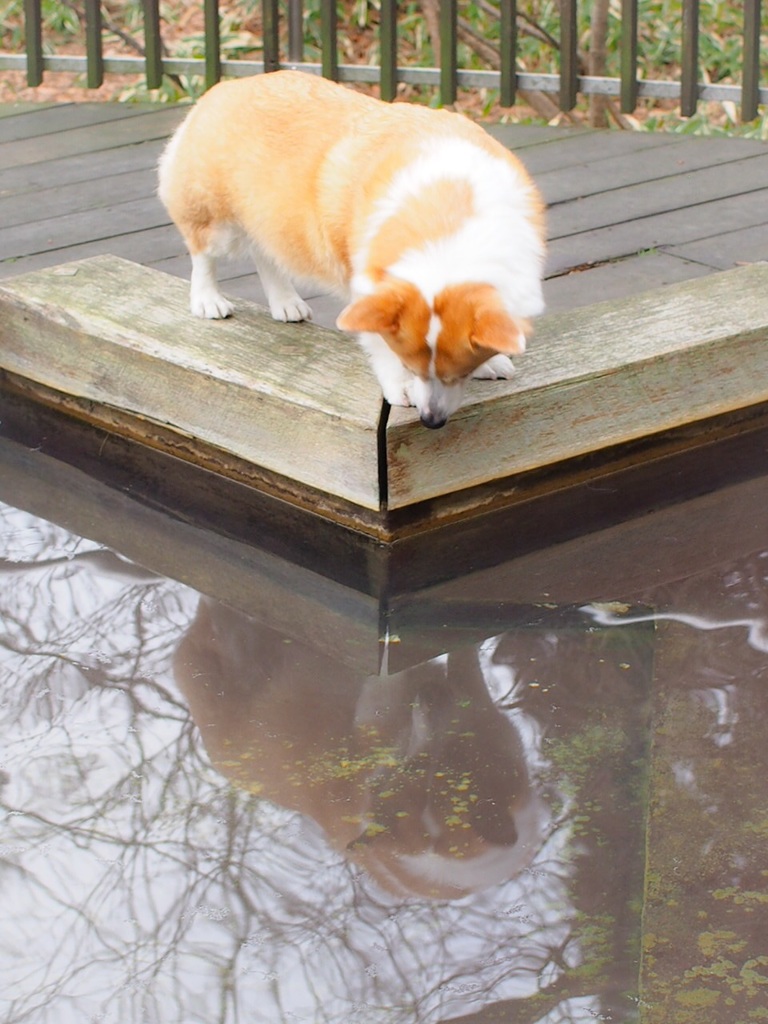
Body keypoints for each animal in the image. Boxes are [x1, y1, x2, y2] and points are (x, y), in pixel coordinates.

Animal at [159, 69, 548, 428]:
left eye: (461, 372)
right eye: (410, 365)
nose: (430, 420)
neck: (446, 220)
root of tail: (222, 88)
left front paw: (492, 359)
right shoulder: (367, 291)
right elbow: (380, 346)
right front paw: (400, 387)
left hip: (271, 221)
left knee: (266, 253)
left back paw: (286, 303)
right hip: (214, 222)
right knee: (203, 254)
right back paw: (208, 300)